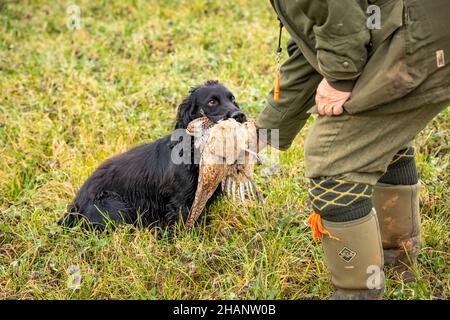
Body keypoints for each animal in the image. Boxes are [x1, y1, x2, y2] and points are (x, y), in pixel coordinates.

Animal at [59, 81, 246, 229]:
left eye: (232, 99)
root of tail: (74, 206)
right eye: (212, 101)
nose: (240, 115)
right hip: (114, 206)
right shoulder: (180, 202)